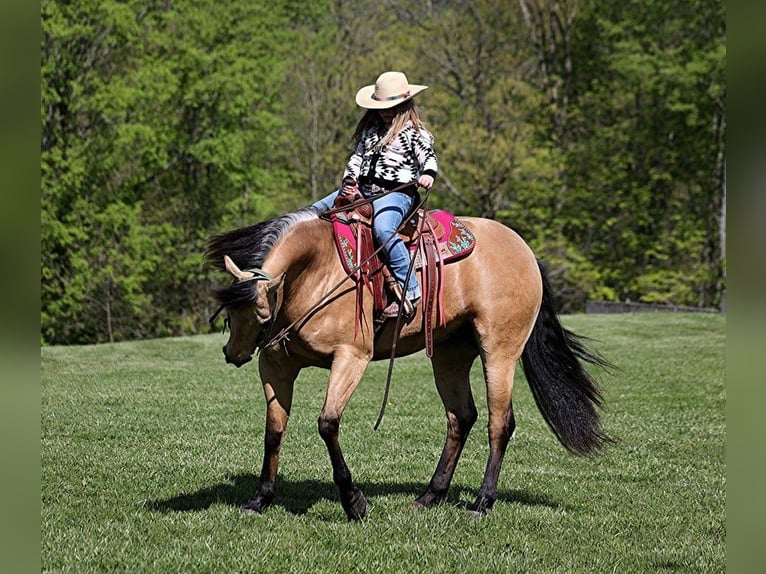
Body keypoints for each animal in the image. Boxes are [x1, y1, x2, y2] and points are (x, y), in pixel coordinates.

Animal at [204, 206, 611, 520]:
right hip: (449, 356)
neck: (316, 271)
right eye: (230, 313)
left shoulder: (352, 358)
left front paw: (354, 502)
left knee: (500, 424)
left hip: (500, 351)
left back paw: (481, 502)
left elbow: (327, 424)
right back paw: (430, 496)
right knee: (460, 418)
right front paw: (260, 499)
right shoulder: (277, 366)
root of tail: (525, 251)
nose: (233, 354)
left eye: (260, 312)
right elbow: (273, 432)